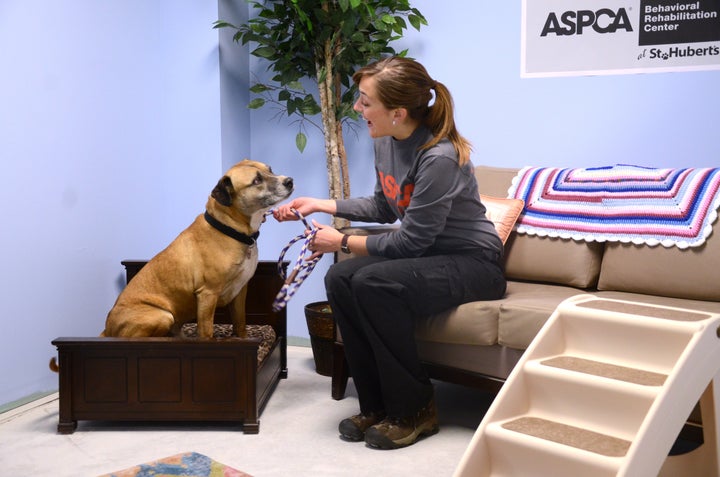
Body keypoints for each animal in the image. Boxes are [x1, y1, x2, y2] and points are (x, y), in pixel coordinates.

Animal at [102, 160, 292, 338]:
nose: (289, 181)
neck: (229, 228)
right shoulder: (207, 294)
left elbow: (240, 325)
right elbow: (207, 332)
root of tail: (107, 329)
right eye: (256, 180)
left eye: (270, 169)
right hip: (163, 316)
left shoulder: (239, 292)